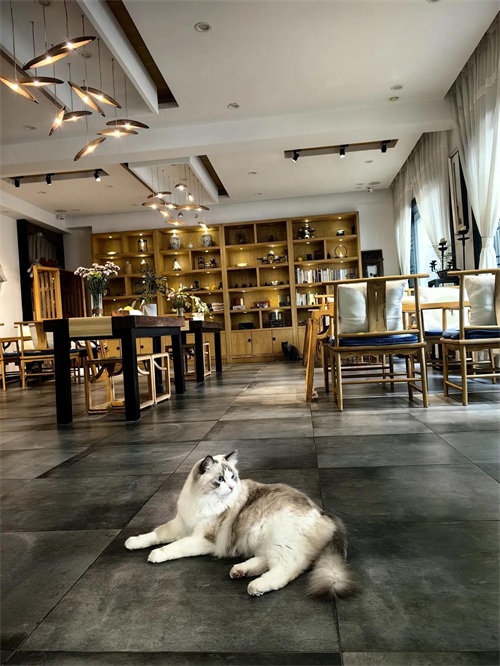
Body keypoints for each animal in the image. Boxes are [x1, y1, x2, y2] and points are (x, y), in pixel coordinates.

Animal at [125, 451, 358, 599]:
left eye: (233, 477)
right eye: (220, 479)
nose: (230, 487)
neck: (201, 501)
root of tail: (324, 514)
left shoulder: (202, 539)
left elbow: (173, 547)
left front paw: (156, 554)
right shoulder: (180, 525)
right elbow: (155, 535)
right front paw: (133, 542)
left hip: (278, 539)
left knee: (288, 569)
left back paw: (256, 585)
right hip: (261, 539)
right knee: (265, 561)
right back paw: (240, 571)